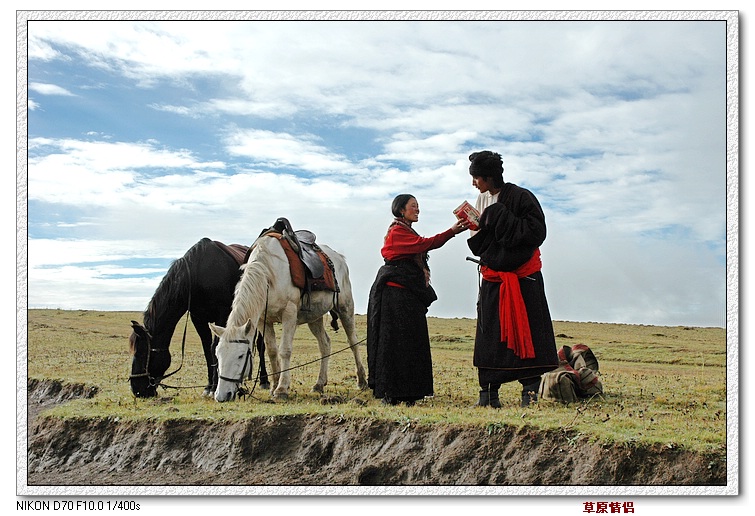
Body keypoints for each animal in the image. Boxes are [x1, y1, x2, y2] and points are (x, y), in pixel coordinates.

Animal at [128, 239, 270, 400]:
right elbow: (207, 350)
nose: (136, 389)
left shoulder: (222, 315)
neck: (197, 276)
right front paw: (209, 387)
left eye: (142, 354)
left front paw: (215, 386)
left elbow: (214, 347)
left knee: (260, 345)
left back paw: (264, 380)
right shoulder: (198, 319)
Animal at [210, 234, 370, 404]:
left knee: (352, 342)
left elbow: (285, 350)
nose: (221, 395)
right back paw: (319, 384)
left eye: (240, 355)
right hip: (314, 318)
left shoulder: (289, 314)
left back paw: (361, 380)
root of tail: (339, 258)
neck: (268, 273)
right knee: (325, 344)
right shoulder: (264, 321)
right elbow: (272, 351)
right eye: (218, 354)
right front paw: (274, 385)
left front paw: (281, 389)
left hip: (346, 308)